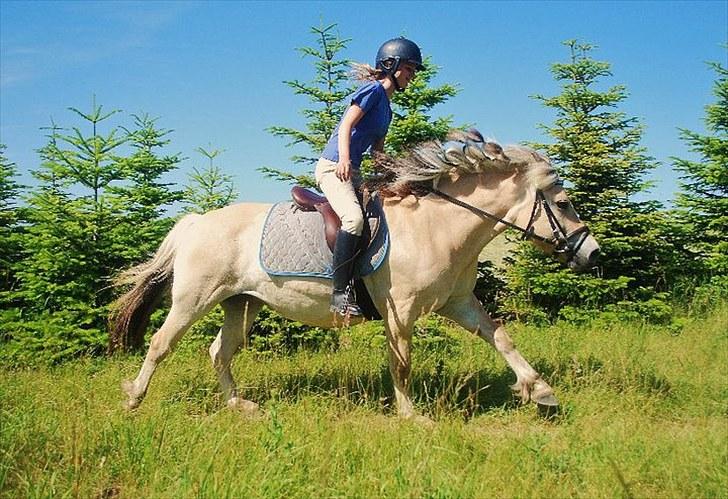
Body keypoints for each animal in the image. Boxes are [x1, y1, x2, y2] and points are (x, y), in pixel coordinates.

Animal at [110, 130, 600, 419]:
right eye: (563, 204)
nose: (592, 256)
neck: (437, 227)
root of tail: (196, 221)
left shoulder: (458, 303)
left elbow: (499, 336)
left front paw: (540, 390)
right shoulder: (400, 311)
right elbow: (401, 362)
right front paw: (411, 416)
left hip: (242, 304)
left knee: (219, 351)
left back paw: (239, 404)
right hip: (194, 299)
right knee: (161, 344)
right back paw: (133, 398)